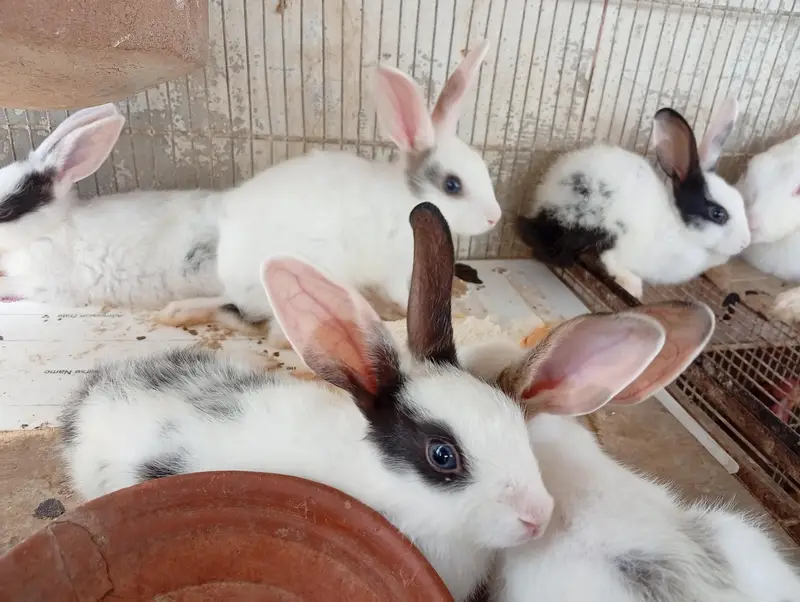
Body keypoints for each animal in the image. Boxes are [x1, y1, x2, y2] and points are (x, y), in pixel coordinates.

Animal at [154, 40, 502, 343]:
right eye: (452, 185)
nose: (495, 218)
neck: (410, 200)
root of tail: (233, 281)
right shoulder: (393, 271)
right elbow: (402, 295)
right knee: (274, 334)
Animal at [516, 99, 750, 300]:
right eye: (717, 213)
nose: (745, 243)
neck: (680, 229)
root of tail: (541, 204)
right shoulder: (620, 242)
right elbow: (611, 261)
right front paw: (633, 287)